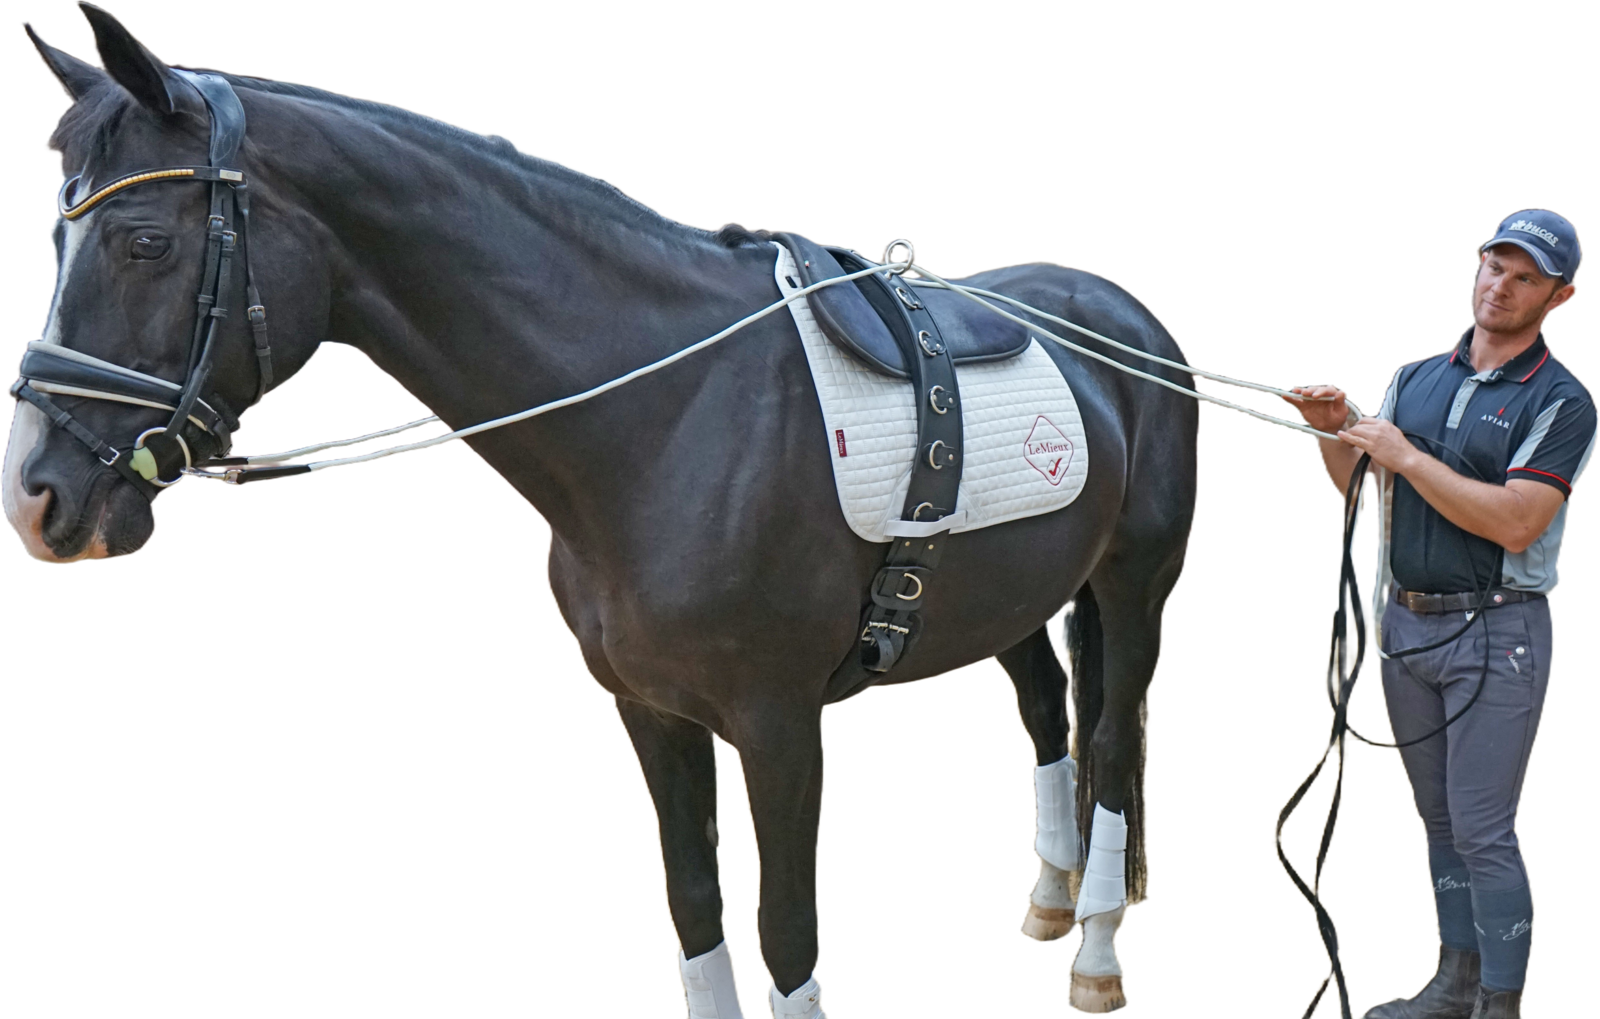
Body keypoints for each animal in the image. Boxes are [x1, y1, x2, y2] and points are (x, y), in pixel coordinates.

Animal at [5, 9, 1198, 1015]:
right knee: (1046, 711)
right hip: (1014, 595)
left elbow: (787, 941)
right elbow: (703, 919)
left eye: (145, 242)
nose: (35, 492)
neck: (671, 420)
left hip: (1132, 584)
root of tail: (1127, 313)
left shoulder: (777, 727)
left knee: (1106, 738)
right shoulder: (655, 715)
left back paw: (1096, 954)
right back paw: (1047, 908)